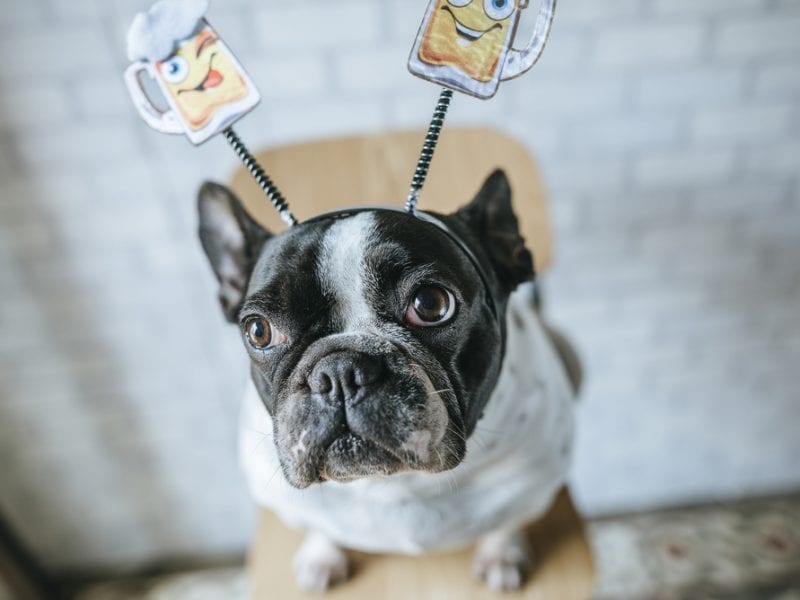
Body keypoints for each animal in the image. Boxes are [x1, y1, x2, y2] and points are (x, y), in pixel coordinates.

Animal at [197, 170, 576, 592]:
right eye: (259, 331)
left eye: (431, 303)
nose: (340, 371)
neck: (392, 484)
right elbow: (317, 524)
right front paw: (322, 556)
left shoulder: (531, 488)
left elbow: (507, 521)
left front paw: (501, 554)